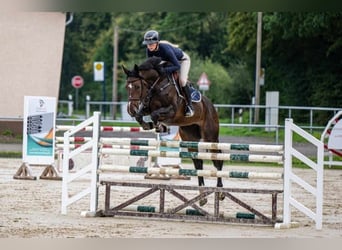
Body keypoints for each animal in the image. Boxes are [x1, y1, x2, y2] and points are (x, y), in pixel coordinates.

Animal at [122, 57, 224, 205]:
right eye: (126, 87)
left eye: (137, 86)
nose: (130, 109)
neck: (156, 86)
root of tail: (210, 105)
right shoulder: (147, 106)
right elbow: (142, 115)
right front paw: (151, 125)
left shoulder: (172, 111)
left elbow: (155, 114)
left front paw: (159, 126)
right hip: (190, 137)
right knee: (198, 163)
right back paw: (202, 196)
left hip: (210, 137)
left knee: (217, 160)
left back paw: (220, 192)